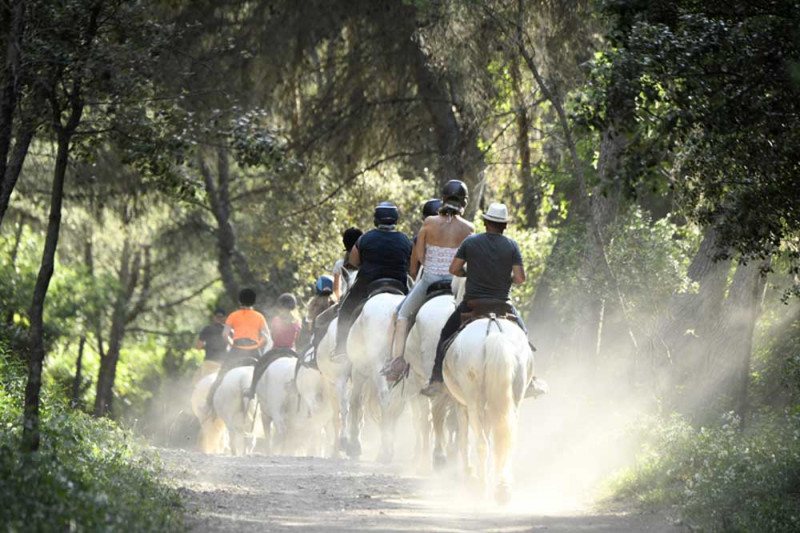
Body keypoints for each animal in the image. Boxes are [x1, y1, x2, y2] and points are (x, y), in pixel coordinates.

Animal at [446, 316, 536, 502]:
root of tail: (494, 333)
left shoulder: (462, 404)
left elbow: (463, 439)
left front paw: (469, 473)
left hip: (474, 402)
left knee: (481, 443)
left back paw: (481, 487)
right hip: (514, 401)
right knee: (505, 441)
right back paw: (502, 488)